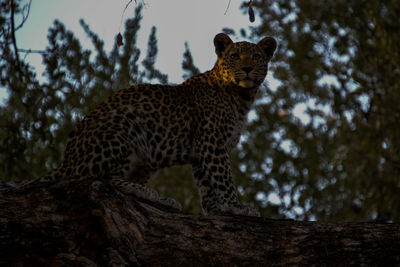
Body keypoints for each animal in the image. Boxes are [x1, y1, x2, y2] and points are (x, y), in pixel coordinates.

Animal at [41, 34, 278, 218]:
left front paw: (217, 209)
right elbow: (223, 177)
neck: (242, 97)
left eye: (256, 56)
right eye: (234, 56)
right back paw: (147, 193)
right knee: (98, 178)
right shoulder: (212, 140)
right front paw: (236, 206)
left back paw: (162, 200)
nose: (247, 68)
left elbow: (207, 184)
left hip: (145, 159)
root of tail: (66, 160)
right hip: (124, 124)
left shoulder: (203, 151)